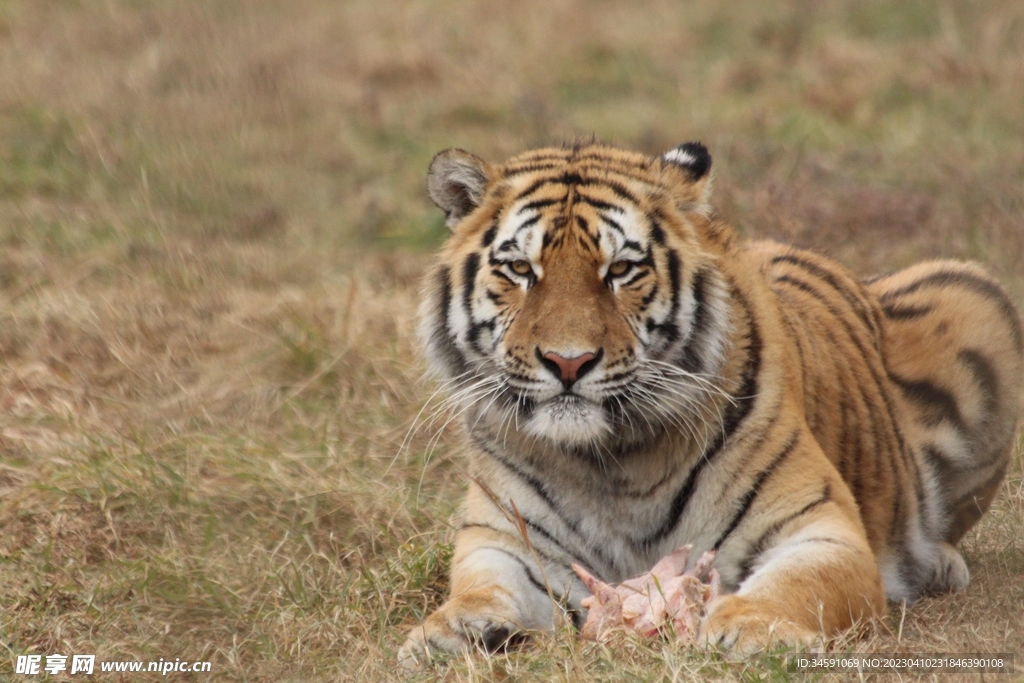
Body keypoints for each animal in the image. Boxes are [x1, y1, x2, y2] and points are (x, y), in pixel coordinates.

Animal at [398, 140, 1024, 663]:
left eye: (621, 269)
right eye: (520, 269)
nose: (568, 362)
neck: (608, 461)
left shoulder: (821, 528)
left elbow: (798, 585)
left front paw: (750, 625)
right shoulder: (500, 539)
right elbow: (483, 588)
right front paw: (447, 631)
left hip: (978, 298)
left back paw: (938, 564)